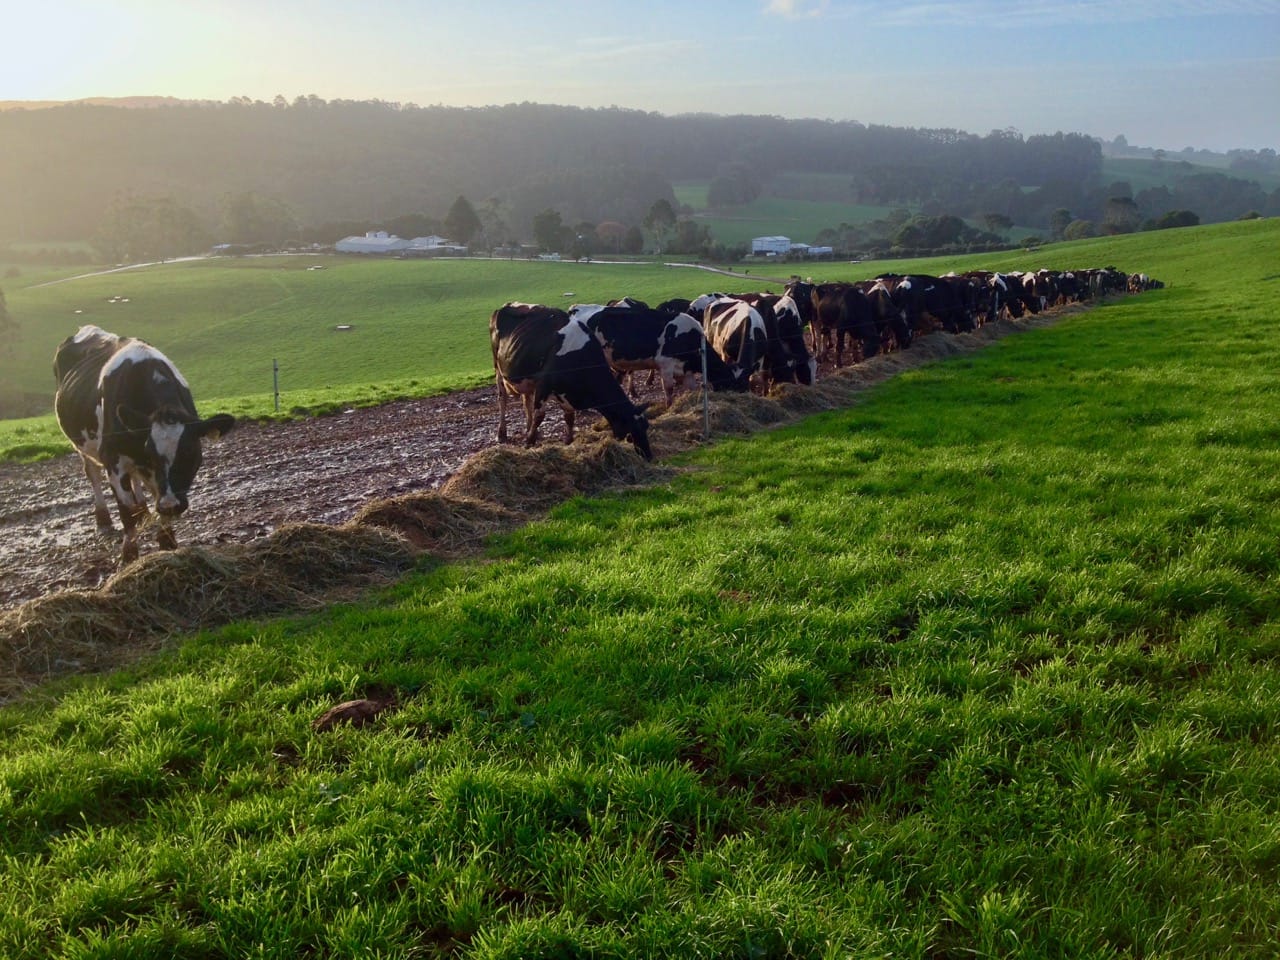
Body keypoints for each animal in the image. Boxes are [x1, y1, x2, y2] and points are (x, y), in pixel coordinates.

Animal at [51, 325, 238, 563]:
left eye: (189, 451)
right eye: (149, 451)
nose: (171, 504)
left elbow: (156, 498)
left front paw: (167, 541)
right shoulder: (113, 458)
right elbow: (126, 512)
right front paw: (129, 554)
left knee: (136, 480)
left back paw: (143, 511)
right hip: (81, 446)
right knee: (92, 473)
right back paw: (104, 519)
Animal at [486, 304, 655, 463]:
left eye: (646, 426)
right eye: (632, 431)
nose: (648, 456)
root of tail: (506, 306)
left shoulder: (566, 391)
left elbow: (569, 417)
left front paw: (568, 441)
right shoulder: (543, 385)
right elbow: (540, 415)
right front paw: (529, 442)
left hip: (525, 378)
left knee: (526, 401)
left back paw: (527, 428)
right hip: (498, 368)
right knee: (503, 399)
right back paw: (502, 433)